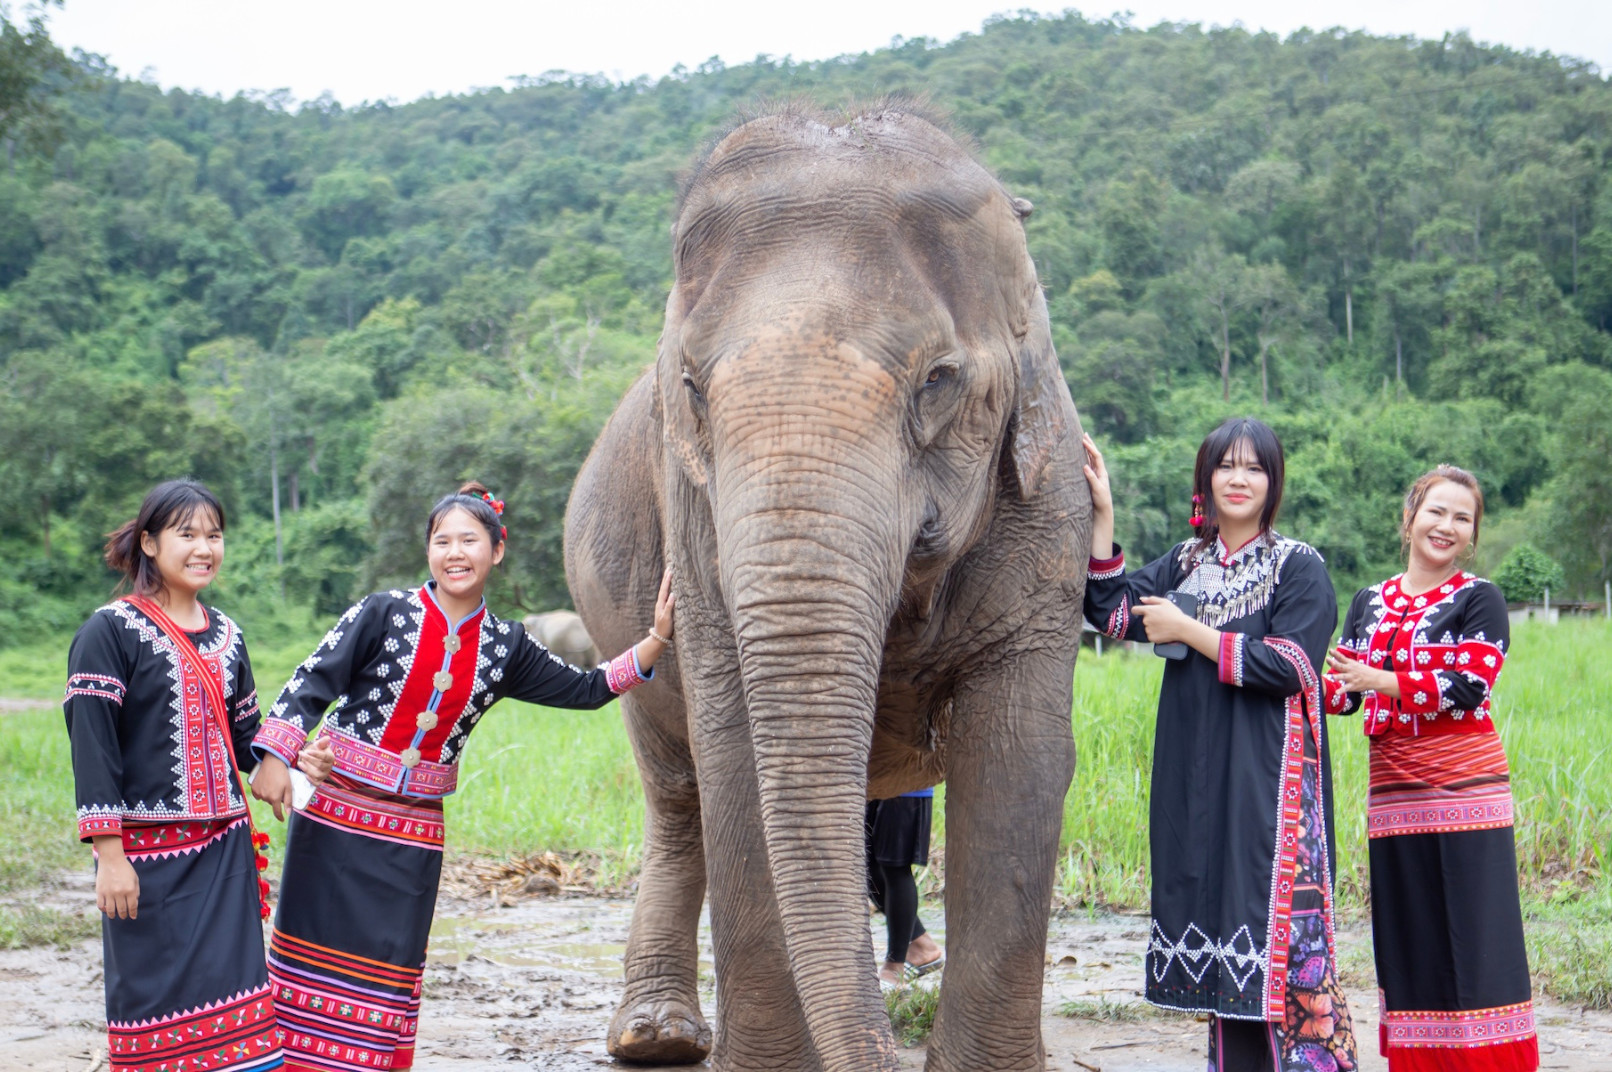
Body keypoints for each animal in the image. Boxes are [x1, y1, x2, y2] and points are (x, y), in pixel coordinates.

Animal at [564, 105, 1091, 1072]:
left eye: (938, 379)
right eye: (689, 387)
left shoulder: (1048, 500)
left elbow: (1019, 761)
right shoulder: (692, 517)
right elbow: (736, 758)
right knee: (679, 796)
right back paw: (656, 1037)